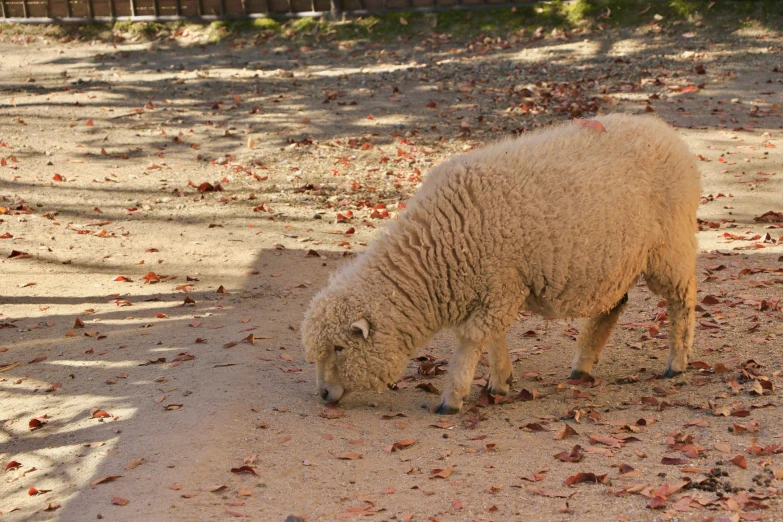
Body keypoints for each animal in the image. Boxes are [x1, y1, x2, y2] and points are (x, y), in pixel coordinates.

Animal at [304, 111, 700, 412]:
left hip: (670, 247)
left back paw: (677, 363)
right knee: (613, 306)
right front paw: (500, 381)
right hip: (613, 260)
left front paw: (452, 398)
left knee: (683, 298)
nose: (323, 394)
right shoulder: (496, 290)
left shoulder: (501, 286)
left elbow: (472, 339)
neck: (436, 249)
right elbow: (494, 338)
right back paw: (582, 365)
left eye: (339, 348)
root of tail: (665, 131)